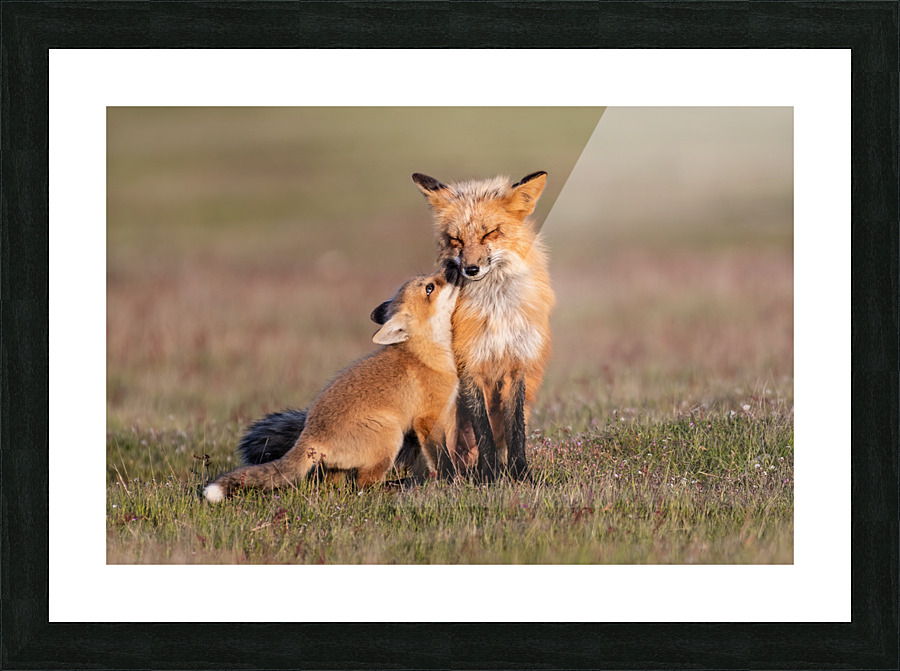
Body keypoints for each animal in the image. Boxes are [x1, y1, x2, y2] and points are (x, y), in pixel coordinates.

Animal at [203, 268, 460, 502]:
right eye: (429, 288)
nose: (454, 266)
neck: (424, 354)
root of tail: (310, 437)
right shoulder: (427, 418)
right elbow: (439, 455)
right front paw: (448, 478)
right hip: (390, 436)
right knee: (364, 486)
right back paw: (397, 487)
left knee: (335, 486)